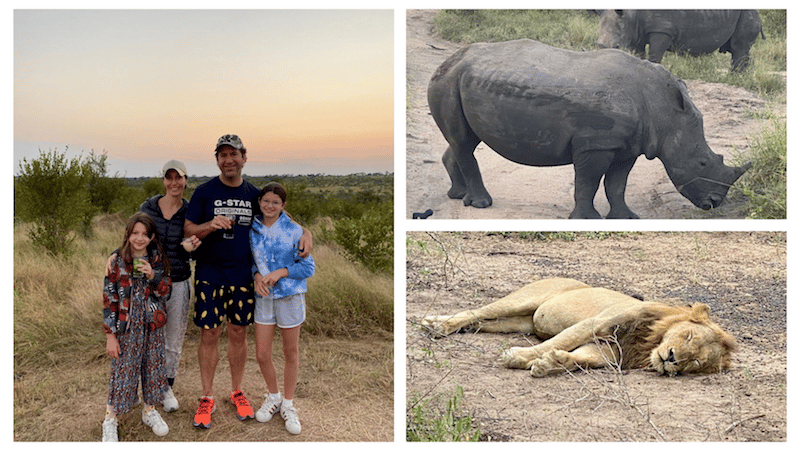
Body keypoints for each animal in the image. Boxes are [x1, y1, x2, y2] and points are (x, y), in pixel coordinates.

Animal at [422, 278, 736, 378]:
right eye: (688, 335)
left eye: (695, 362)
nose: (672, 358)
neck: (649, 340)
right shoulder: (596, 323)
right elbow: (556, 342)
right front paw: (519, 357)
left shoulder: (611, 353)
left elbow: (581, 359)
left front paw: (550, 364)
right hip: (523, 300)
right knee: (476, 311)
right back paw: (438, 324)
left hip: (519, 320)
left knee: (481, 322)